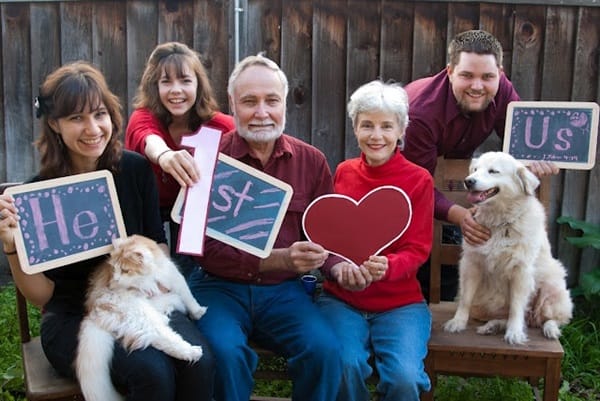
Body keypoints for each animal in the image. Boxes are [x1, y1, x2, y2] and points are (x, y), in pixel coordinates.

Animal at [442, 152, 576, 342]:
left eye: (493, 171)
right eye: (475, 169)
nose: (468, 181)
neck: (500, 222)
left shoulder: (521, 271)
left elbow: (516, 307)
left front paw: (514, 333)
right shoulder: (471, 265)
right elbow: (465, 300)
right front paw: (458, 322)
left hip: (552, 290)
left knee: (552, 319)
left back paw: (550, 329)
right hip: (484, 303)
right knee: (510, 317)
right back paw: (491, 326)